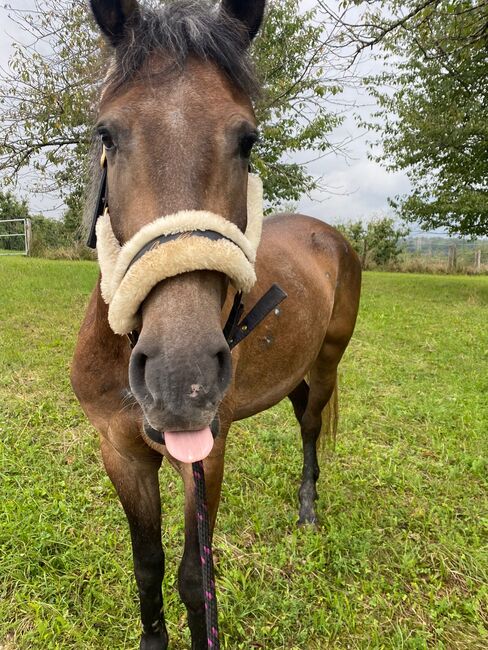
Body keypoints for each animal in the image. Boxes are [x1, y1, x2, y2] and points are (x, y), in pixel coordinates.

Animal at [72, 2, 362, 644]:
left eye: (247, 140)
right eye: (107, 134)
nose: (181, 382)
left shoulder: (205, 454)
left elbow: (193, 579)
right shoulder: (120, 452)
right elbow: (146, 565)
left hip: (328, 362)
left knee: (310, 425)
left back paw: (308, 508)